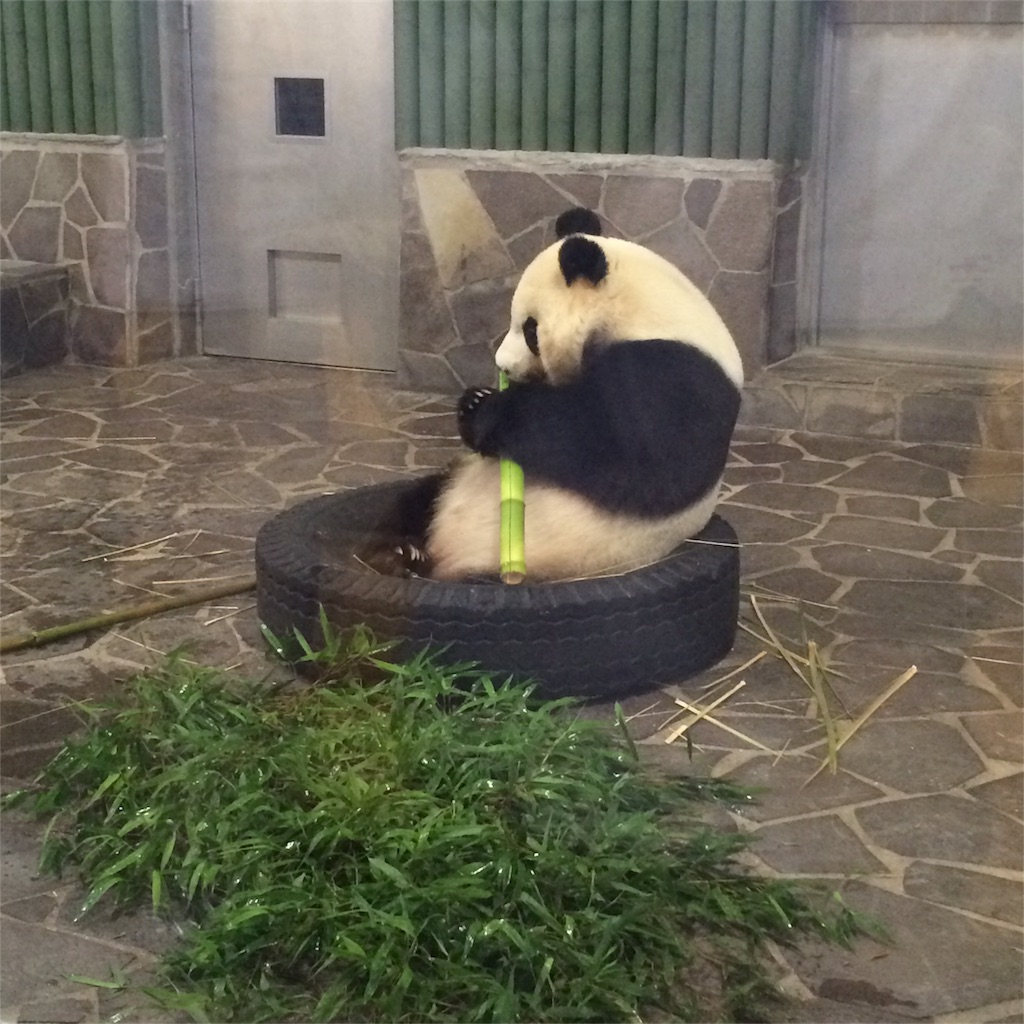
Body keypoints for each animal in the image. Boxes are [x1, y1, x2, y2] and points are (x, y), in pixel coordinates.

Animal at [387, 205, 741, 585]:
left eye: (530, 330)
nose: (503, 364)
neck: (643, 313)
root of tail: (445, 560)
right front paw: (473, 401)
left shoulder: (673, 378)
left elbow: (629, 460)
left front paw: (488, 409)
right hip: (453, 484)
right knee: (419, 498)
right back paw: (405, 552)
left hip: (543, 566)